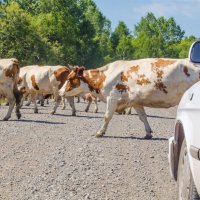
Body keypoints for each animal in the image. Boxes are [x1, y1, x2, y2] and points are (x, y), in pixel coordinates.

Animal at [59, 58, 200, 139]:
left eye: (70, 79)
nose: (60, 92)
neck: (104, 76)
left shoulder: (113, 97)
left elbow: (107, 116)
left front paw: (100, 132)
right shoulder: (136, 102)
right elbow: (143, 117)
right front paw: (148, 133)